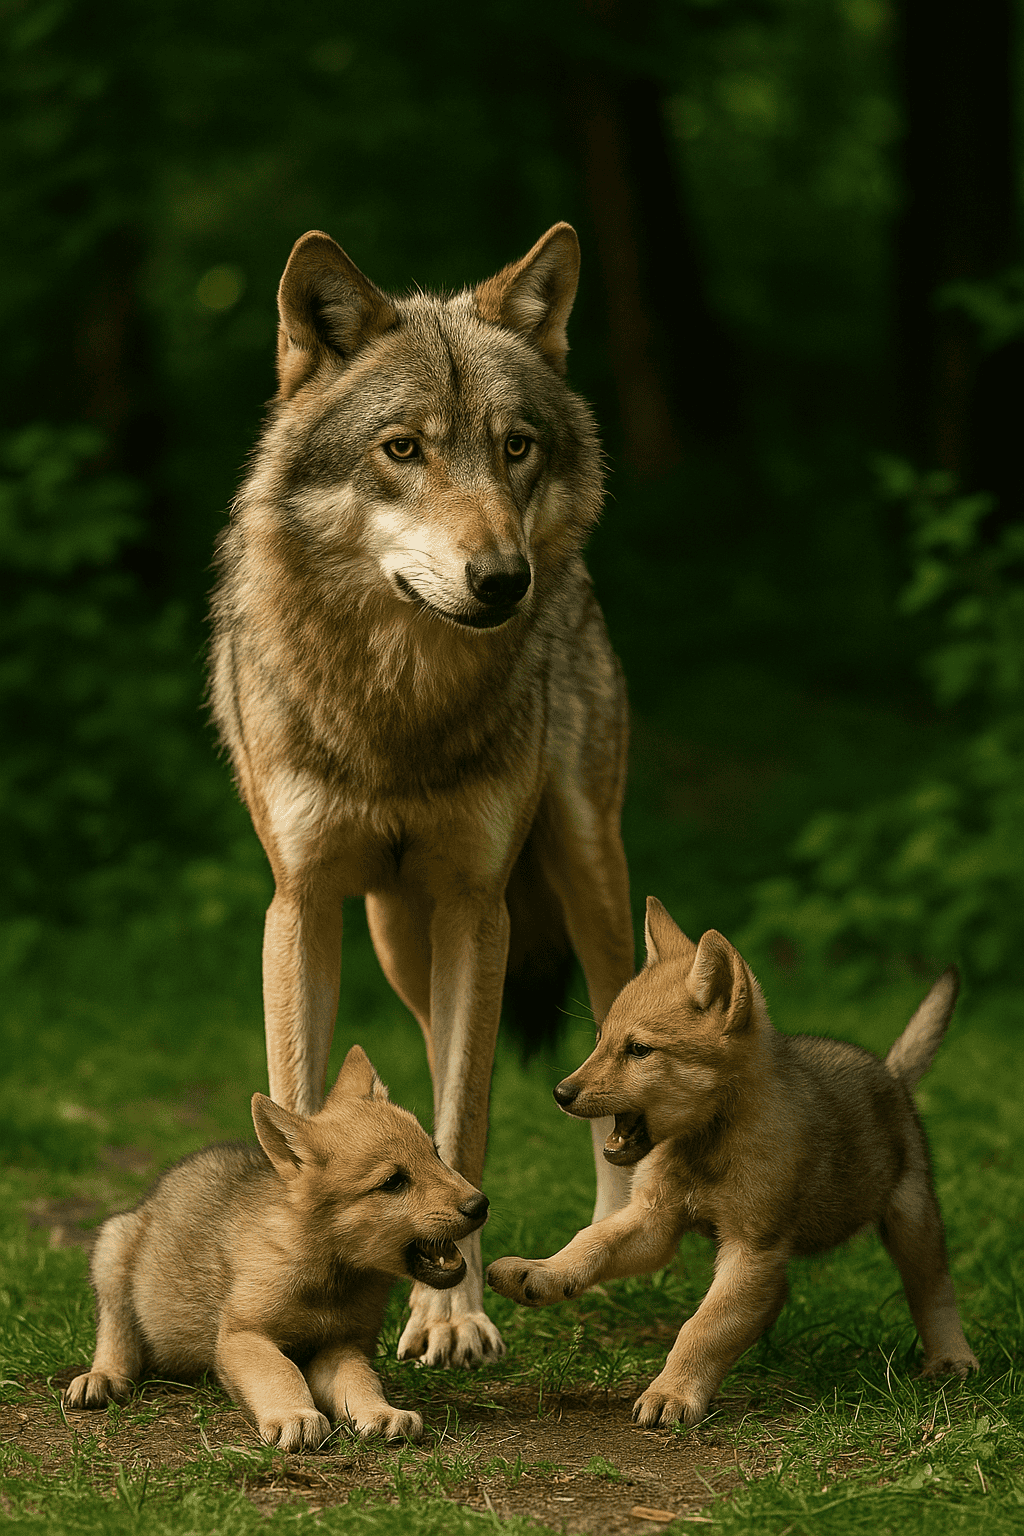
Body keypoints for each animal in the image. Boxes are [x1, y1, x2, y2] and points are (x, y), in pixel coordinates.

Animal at [64, 1046, 488, 1448]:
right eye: (393, 1182)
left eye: (435, 1153)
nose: (480, 1205)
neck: (332, 1276)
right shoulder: (243, 1335)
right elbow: (281, 1370)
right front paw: (295, 1416)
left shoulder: (341, 1347)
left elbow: (360, 1381)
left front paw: (381, 1413)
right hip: (112, 1249)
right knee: (117, 1334)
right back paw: (100, 1378)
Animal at [208, 224, 636, 1367]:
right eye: (402, 449)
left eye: (517, 447)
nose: (504, 581)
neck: (397, 705)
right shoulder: (301, 905)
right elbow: (301, 1102)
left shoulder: (478, 909)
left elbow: (464, 1119)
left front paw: (451, 1315)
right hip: (401, 940)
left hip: (583, 878)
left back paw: (612, 1243)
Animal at [488, 898, 978, 1426]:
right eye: (600, 1039)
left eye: (639, 1050)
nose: (560, 1093)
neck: (707, 1145)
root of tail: (892, 1073)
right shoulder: (654, 1221)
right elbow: (589, 1244)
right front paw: (540, 1273)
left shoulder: (751, 1248)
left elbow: (703, 1326)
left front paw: (672, 1393)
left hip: (912, 1219)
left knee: (934, 1289)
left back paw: (952, 1357)